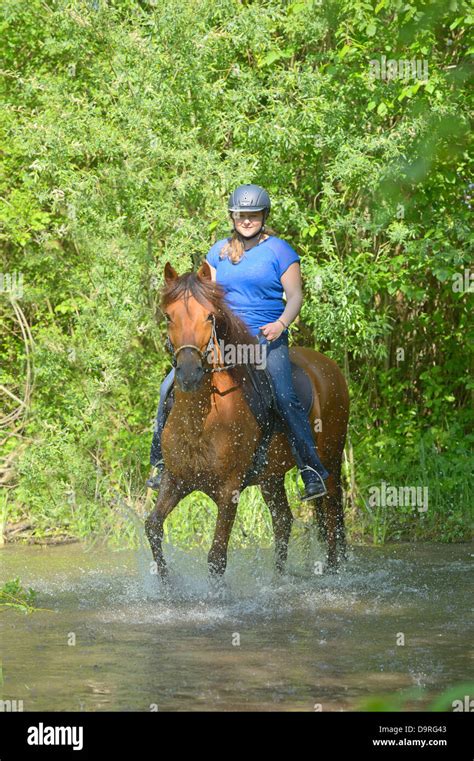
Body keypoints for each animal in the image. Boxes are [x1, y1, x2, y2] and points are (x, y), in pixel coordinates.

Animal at [146, 260, 350, 576]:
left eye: (209, 316)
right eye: (169, 316)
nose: (189, 373)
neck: (201, 421)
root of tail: (328, 365)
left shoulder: (229, 489)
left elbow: (217, 558)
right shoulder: (175, 479)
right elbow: (153, 527)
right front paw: (168, 582)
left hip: (329, 458)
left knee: (331, 517)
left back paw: (330, 571)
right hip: (271, 476)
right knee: (284, 520)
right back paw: (278, 578)